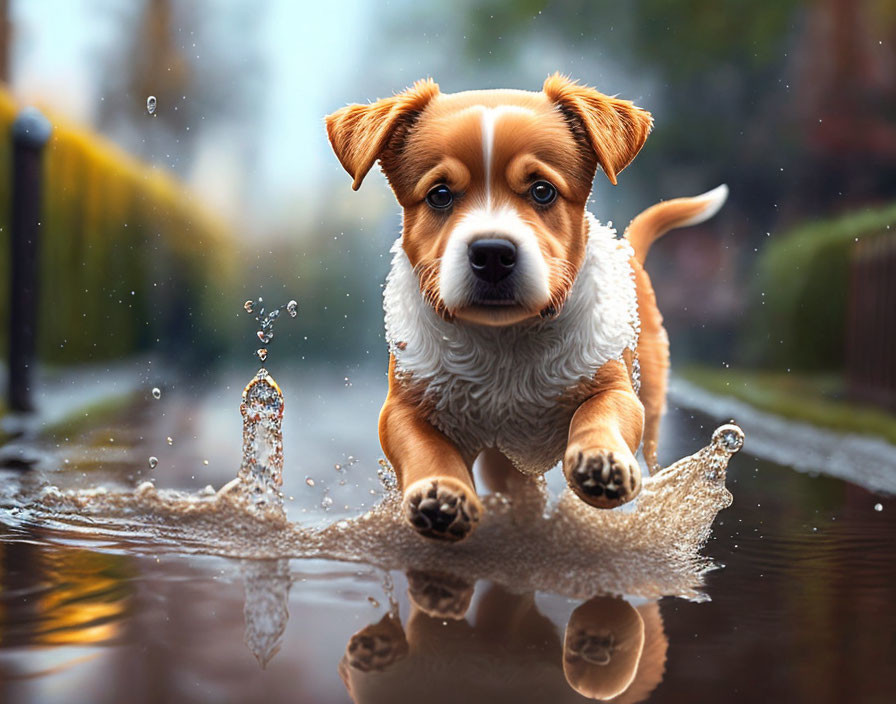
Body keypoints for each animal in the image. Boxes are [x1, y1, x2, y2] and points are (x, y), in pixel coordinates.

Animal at [326, 74, 724, 540]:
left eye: (542, 190)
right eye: (440, 195)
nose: (492, 253)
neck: (505, 342)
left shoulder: (615, 385)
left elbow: (601, 412)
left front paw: (602, 462)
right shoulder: (403, 406)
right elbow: (423, 447)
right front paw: (441, 494)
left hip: (655, 403)